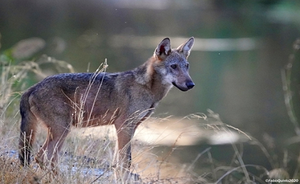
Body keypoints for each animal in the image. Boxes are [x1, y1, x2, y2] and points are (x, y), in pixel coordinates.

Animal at [19, 37, 197, 175]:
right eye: (174, 66)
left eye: (187, 66)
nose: (191, 84)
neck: (147, 88)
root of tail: (31, 88)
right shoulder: (123, 126)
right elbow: (126, 162)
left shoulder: (130, 127)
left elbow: (119, 163)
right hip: (62, 131)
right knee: (43, 157)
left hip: (58, 133)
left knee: (44, 158)